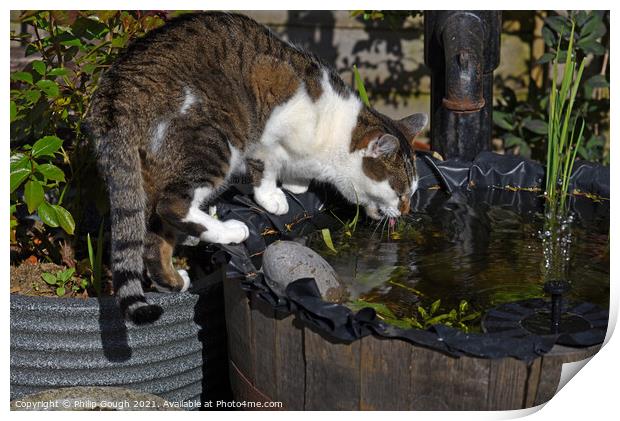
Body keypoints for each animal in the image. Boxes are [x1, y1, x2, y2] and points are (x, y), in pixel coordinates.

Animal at [85, 11, 428, 324]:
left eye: (412, 192)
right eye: (400, 192)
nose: (407, 211)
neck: (334, 134)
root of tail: (117, 92)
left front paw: (297, 183)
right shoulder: (268, 133)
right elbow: (266, 170)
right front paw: (274, 198)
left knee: (153, 235)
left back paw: (174, 279)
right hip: (216, 140)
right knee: (172, 205)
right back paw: (229, 230)